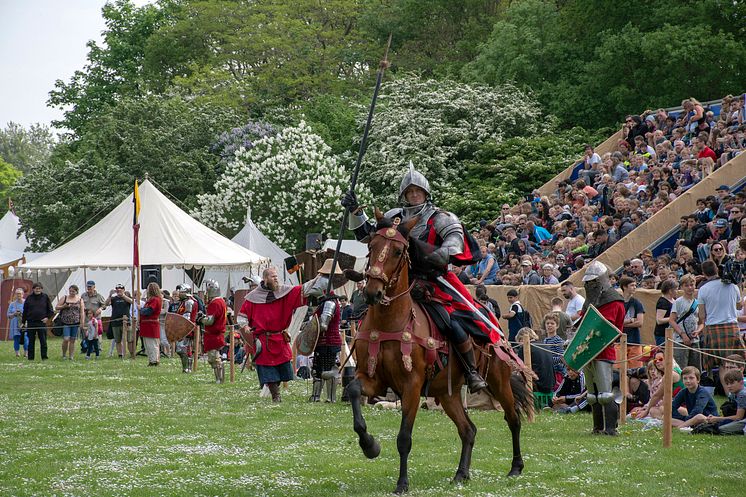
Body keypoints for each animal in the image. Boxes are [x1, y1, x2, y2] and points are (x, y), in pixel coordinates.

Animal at [346, 212, 532, 492]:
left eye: (398, 251)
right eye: (371, 247)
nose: (372, 292)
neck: (390, 321)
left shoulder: (411, 386)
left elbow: (404, 437)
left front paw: (402, 483)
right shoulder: (373, 379)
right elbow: (354, 392)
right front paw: (370, 445)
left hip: (498, 380)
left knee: (513, 418)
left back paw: (515, 467)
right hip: (448, 393)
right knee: (468, 429)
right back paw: (461, 474)